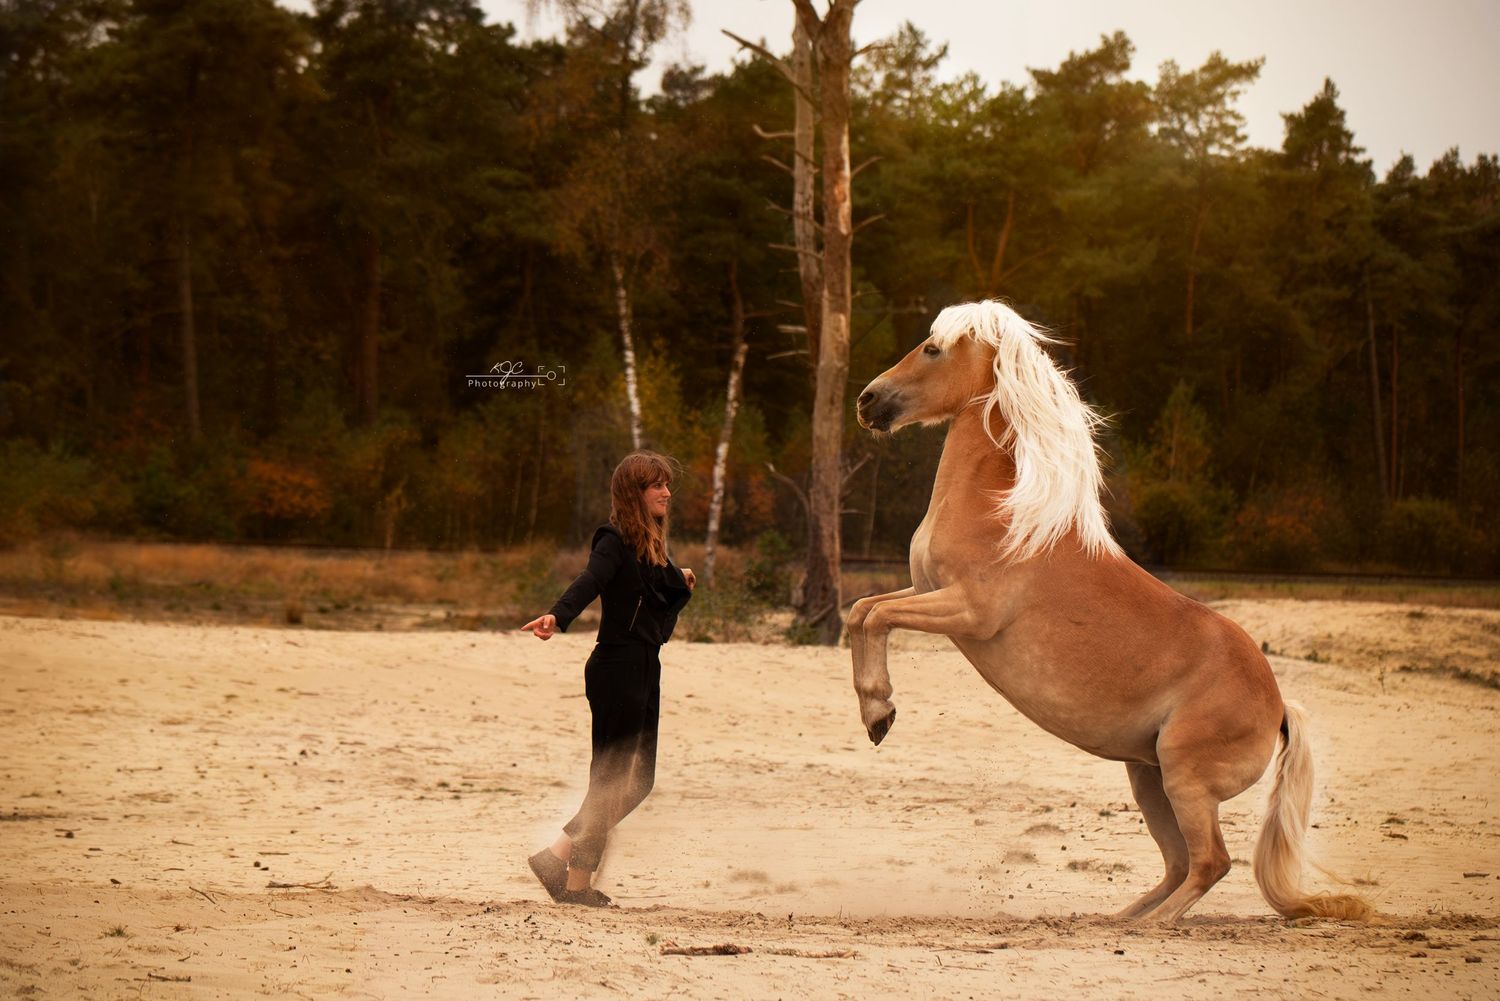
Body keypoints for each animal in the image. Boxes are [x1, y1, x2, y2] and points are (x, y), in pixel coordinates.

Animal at [847, 299, 1372, 925]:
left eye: (932, 349)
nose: (868, 401)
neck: (1005, 515)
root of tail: (1279, 709)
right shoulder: (925, 591)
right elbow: (862, 610)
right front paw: (876, 715)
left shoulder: (968, 613)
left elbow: (875, 618)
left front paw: (880, 713)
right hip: (1148, 778)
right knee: (1178, 864)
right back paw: (1118, 919)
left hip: (1184, 780)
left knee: (1211, 862)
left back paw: (1157, 928)